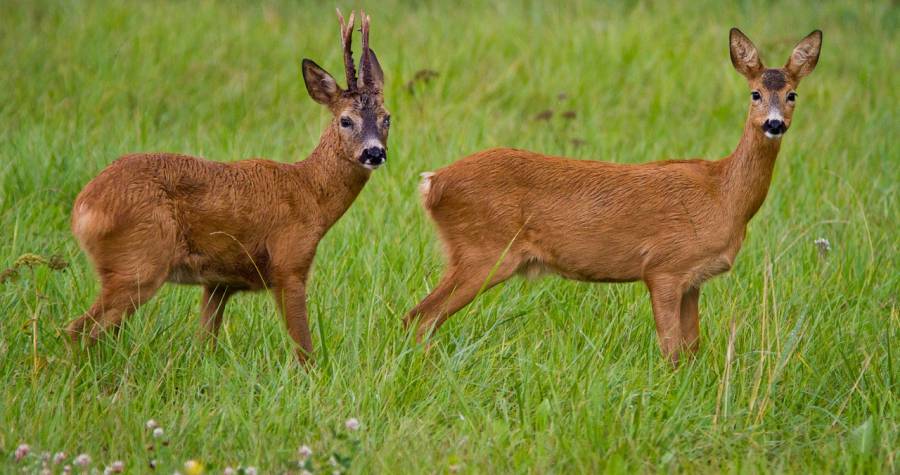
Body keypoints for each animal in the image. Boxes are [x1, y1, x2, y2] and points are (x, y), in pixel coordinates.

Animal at [67, 9, 390, 364]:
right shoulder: (289, 263)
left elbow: (204, 343)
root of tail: (83, 207)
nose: (374, 152)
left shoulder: (218, 282)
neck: (309, 193)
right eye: (346, 120)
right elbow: (304, 350)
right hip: (138, 261)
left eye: (386, 118)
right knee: (78, 330)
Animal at [408, 29, 824, 364]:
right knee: (420, 316)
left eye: (792, 94)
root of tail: (433, 182)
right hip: (483, 250)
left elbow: (692, 348)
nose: (774, 124)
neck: (723, 194)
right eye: (755, 93)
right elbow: (670, 350)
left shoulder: (693, 279)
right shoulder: (664, 266)